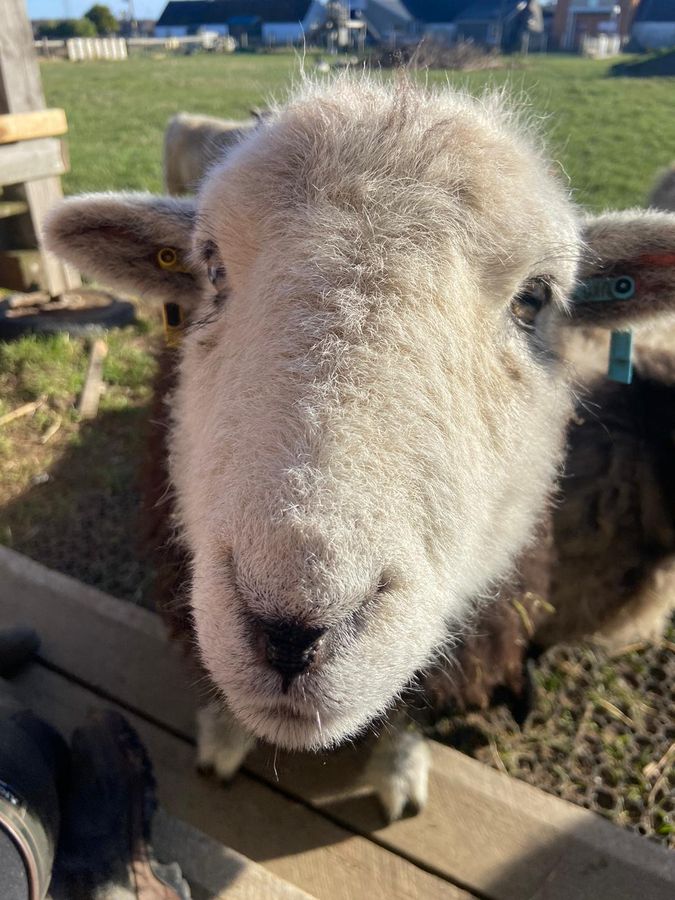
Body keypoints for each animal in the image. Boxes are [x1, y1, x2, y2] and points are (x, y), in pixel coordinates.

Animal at [44, 77, 675, 821]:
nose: (290, 634)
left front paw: (399, 772)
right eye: (213, 268)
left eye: (535, 299)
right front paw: (224, 739)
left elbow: (412, 714)